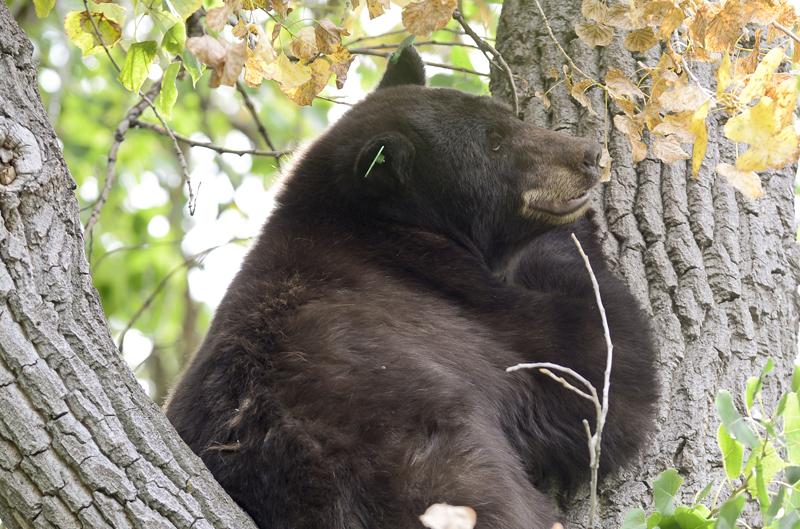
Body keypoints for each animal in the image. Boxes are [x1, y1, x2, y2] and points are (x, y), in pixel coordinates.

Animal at [165, 47, 658, 529]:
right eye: (494, 141)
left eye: (506, 116)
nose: (588, 154)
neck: (381, 230)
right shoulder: (455, 306)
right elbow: (601, 366)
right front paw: (574, 233)